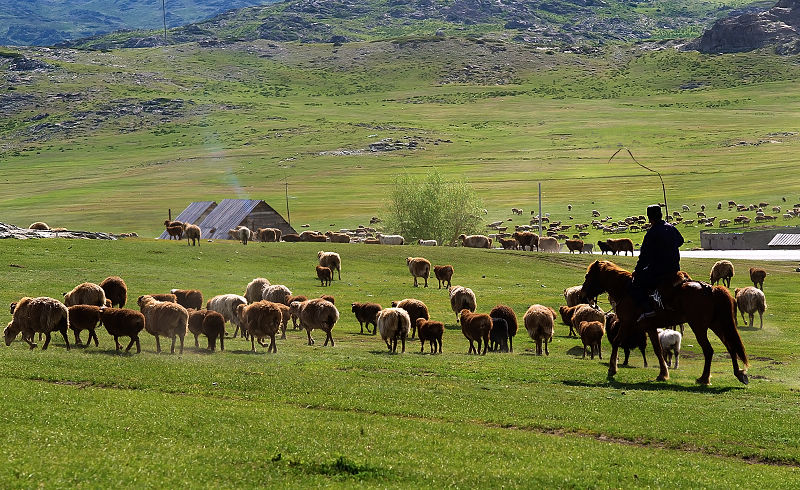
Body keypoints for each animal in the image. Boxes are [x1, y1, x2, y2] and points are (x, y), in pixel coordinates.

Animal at [580, 260, 748, 386]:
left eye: (588, 275)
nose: (583, 294)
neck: (626, 290)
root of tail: (710, 289)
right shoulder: (650, 327)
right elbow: (658, 350)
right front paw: (663, 374)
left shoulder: (627, 323)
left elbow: (616, 342)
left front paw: (612, 369)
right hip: (716, 324)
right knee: (730, 346)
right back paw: (739, 374)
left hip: (699, 327)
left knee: (708, 350)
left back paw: (704, 378)